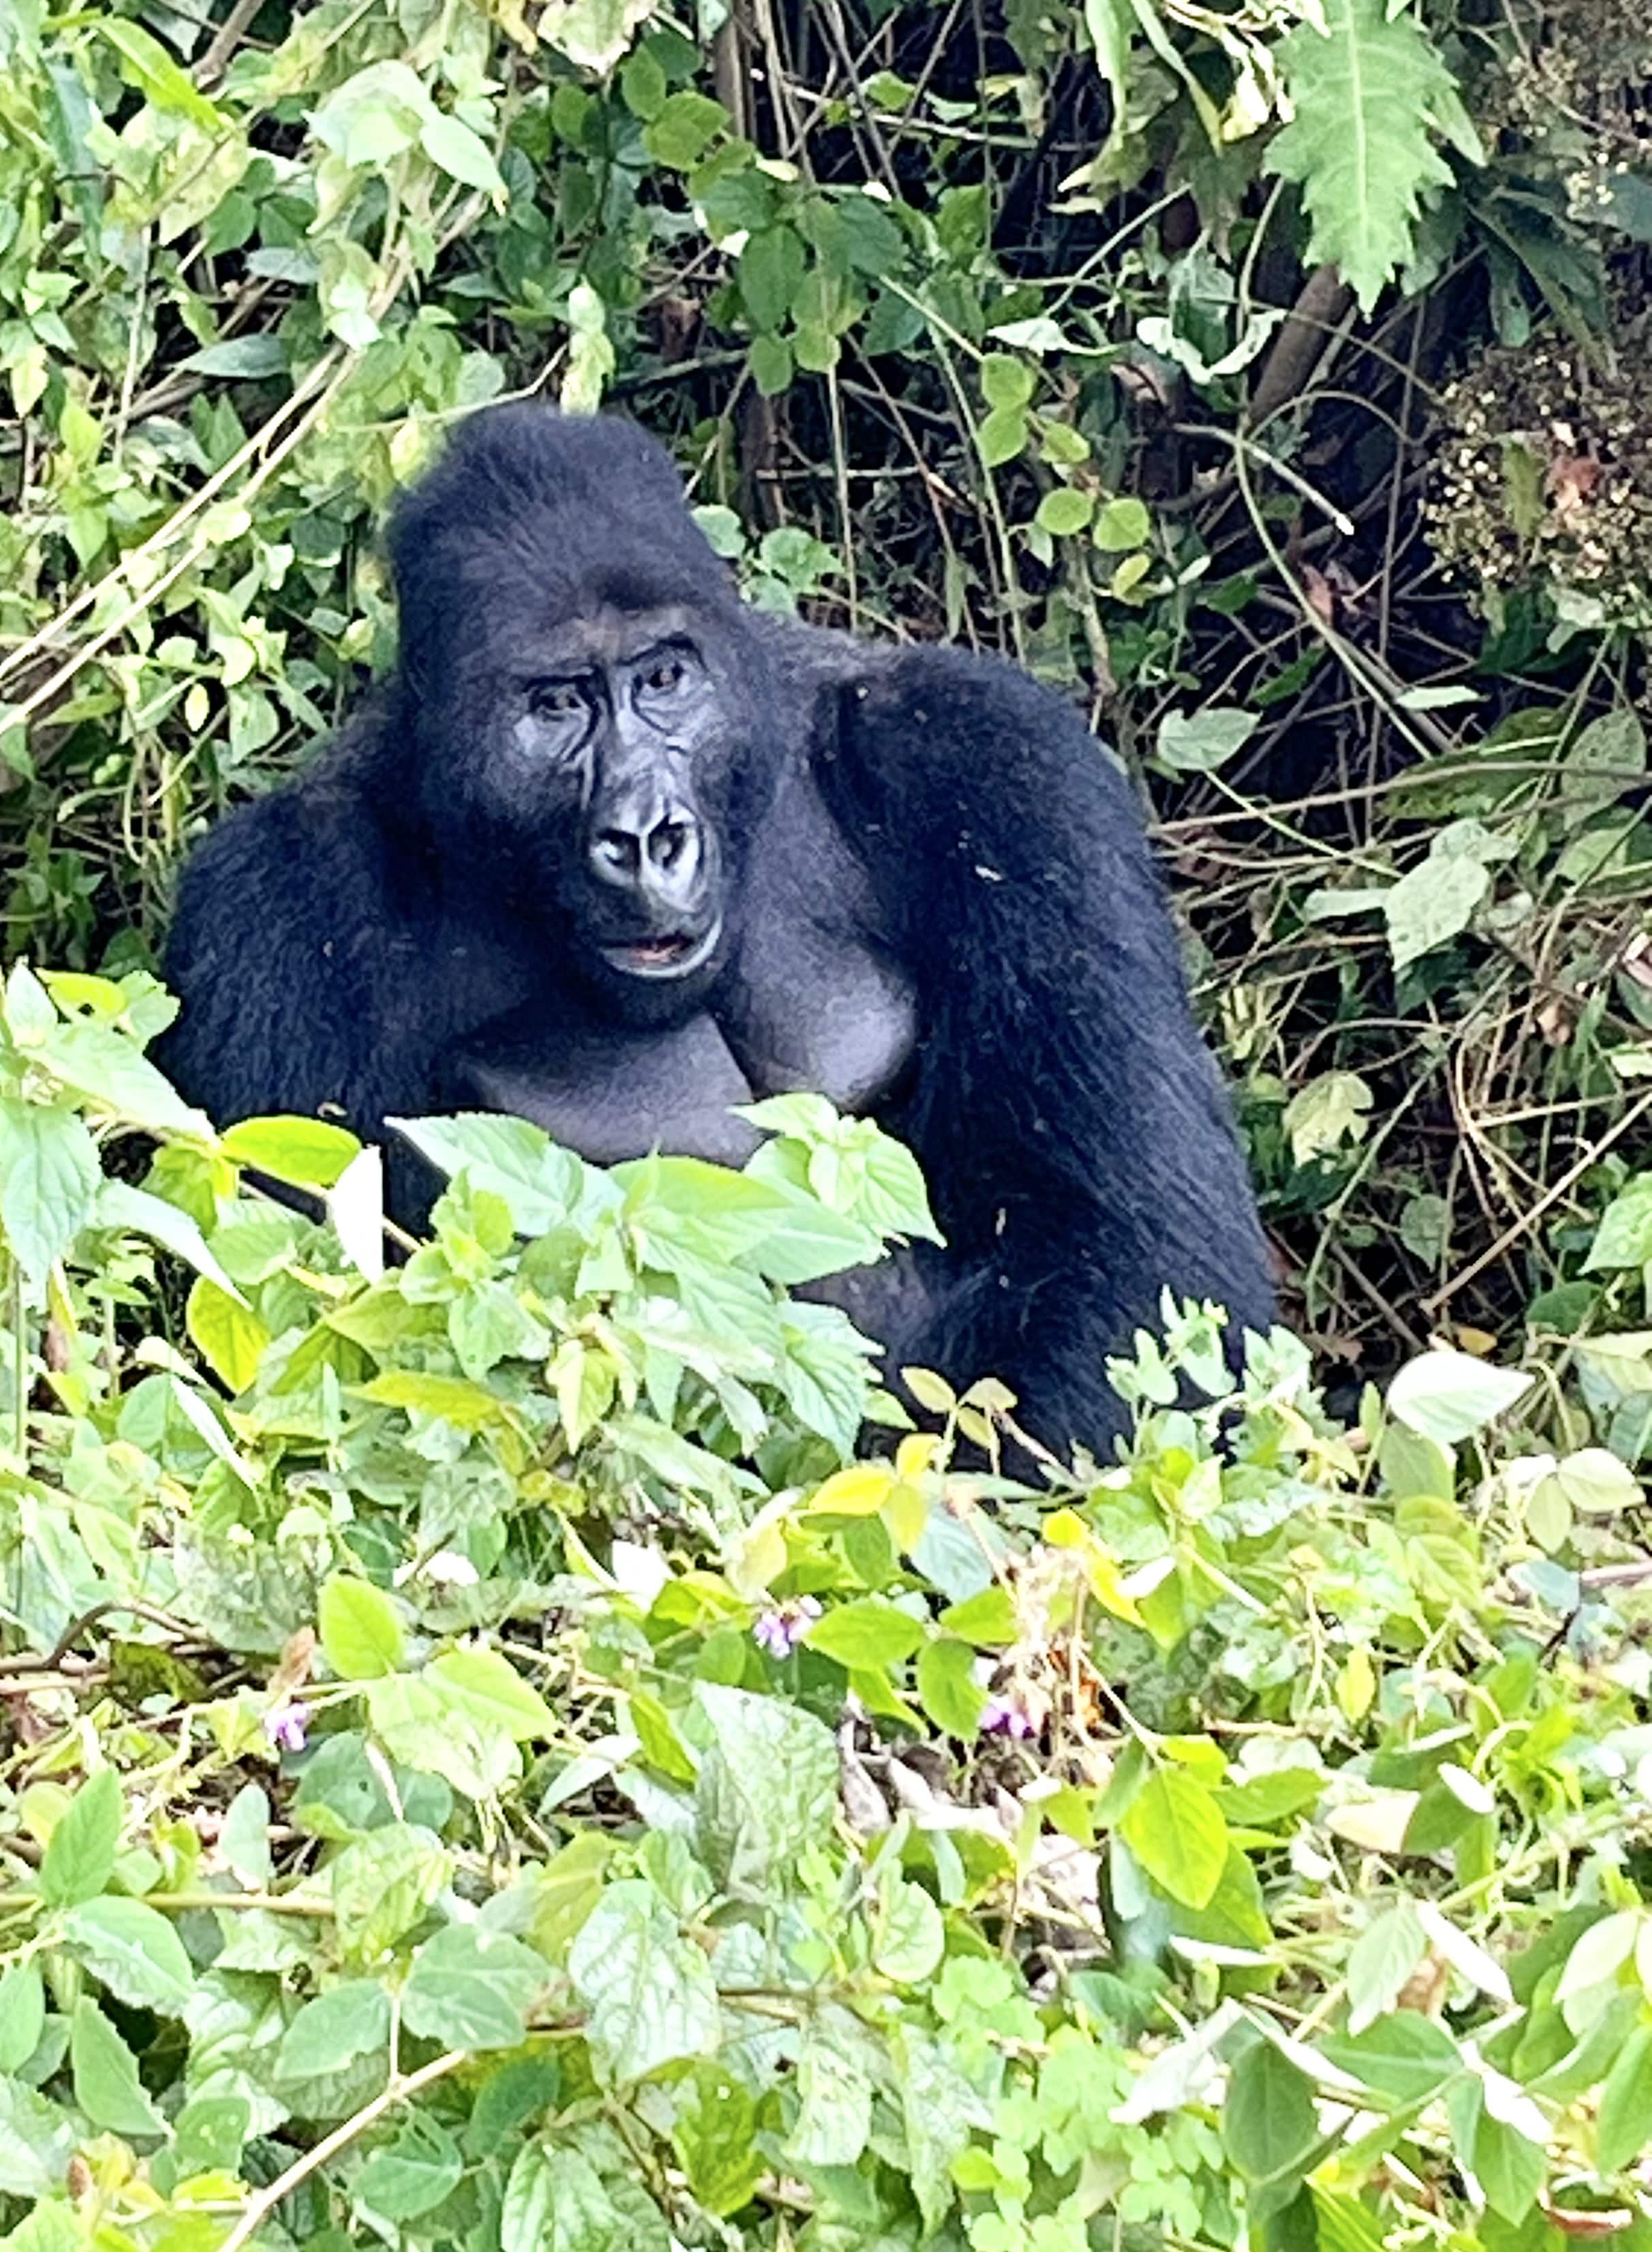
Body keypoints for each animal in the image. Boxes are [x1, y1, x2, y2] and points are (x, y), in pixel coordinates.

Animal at [161, 405, 1278, 1450]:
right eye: (556, 705)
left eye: (663, 679)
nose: (647, 836)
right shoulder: (272, 902)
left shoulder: (994, 756)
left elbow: (1137, 1252)